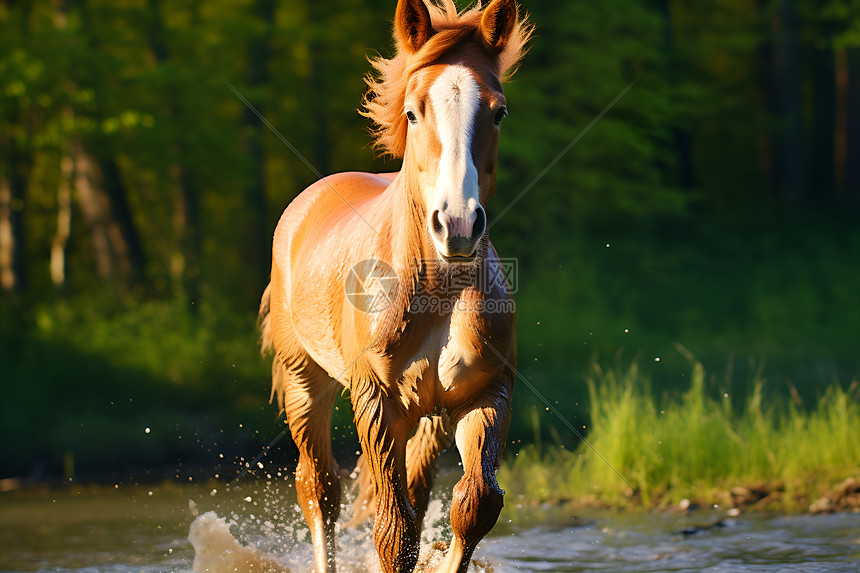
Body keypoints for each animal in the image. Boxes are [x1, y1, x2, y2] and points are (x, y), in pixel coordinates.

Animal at [258, 2, 532, 568]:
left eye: (498, 112)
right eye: (412, 112)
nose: (458, 225)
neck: (435, 290)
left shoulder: (486, 396)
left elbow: (475, 505)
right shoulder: (377, 404)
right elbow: (394, 531)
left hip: (426, 419)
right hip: (304, 383)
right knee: (319, 489)